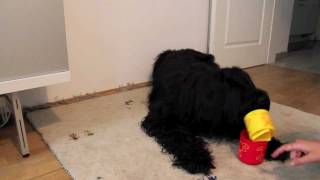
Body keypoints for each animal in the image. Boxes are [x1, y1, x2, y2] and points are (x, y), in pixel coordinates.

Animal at [141, 48, 288, 174]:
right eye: (237, 89)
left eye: (250, 83)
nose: (264, 99)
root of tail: (174, 50)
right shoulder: (161, 119)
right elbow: (181, 136)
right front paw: (198, 159)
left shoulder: (230, 117)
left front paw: (274, 146)